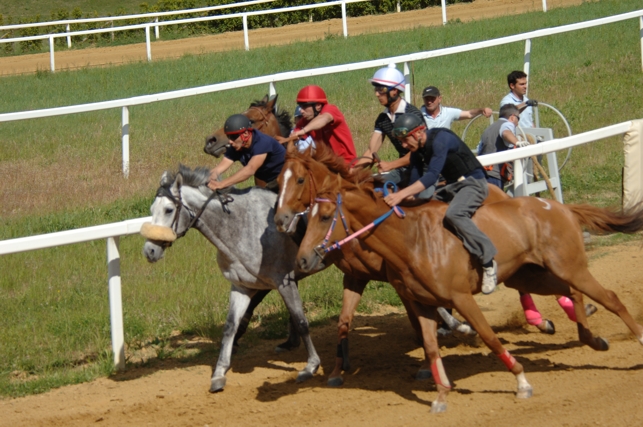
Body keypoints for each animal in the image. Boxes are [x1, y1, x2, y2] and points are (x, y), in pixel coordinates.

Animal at [142, 166, 320, 392]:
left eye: (168, 210)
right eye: (151, 209)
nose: (149, 250)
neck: (241, 226)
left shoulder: (283, 281)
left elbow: (301, 320)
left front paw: (311, 365)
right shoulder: (241, 286)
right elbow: (230, 327)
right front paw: (219, 373)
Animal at [296, 145, 643, 414]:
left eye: (324, 217)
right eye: (307, 216)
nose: (301, 259)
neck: (412, 240)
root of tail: (559, 206)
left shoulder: (460, 297)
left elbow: (489, 337)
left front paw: (521, 381)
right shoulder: (422, 304)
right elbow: (431, 347)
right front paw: (440, 395)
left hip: (569, 266)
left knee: (610, 297)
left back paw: (635, 339)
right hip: (532, 276)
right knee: (573, 292)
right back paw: (593, 339)